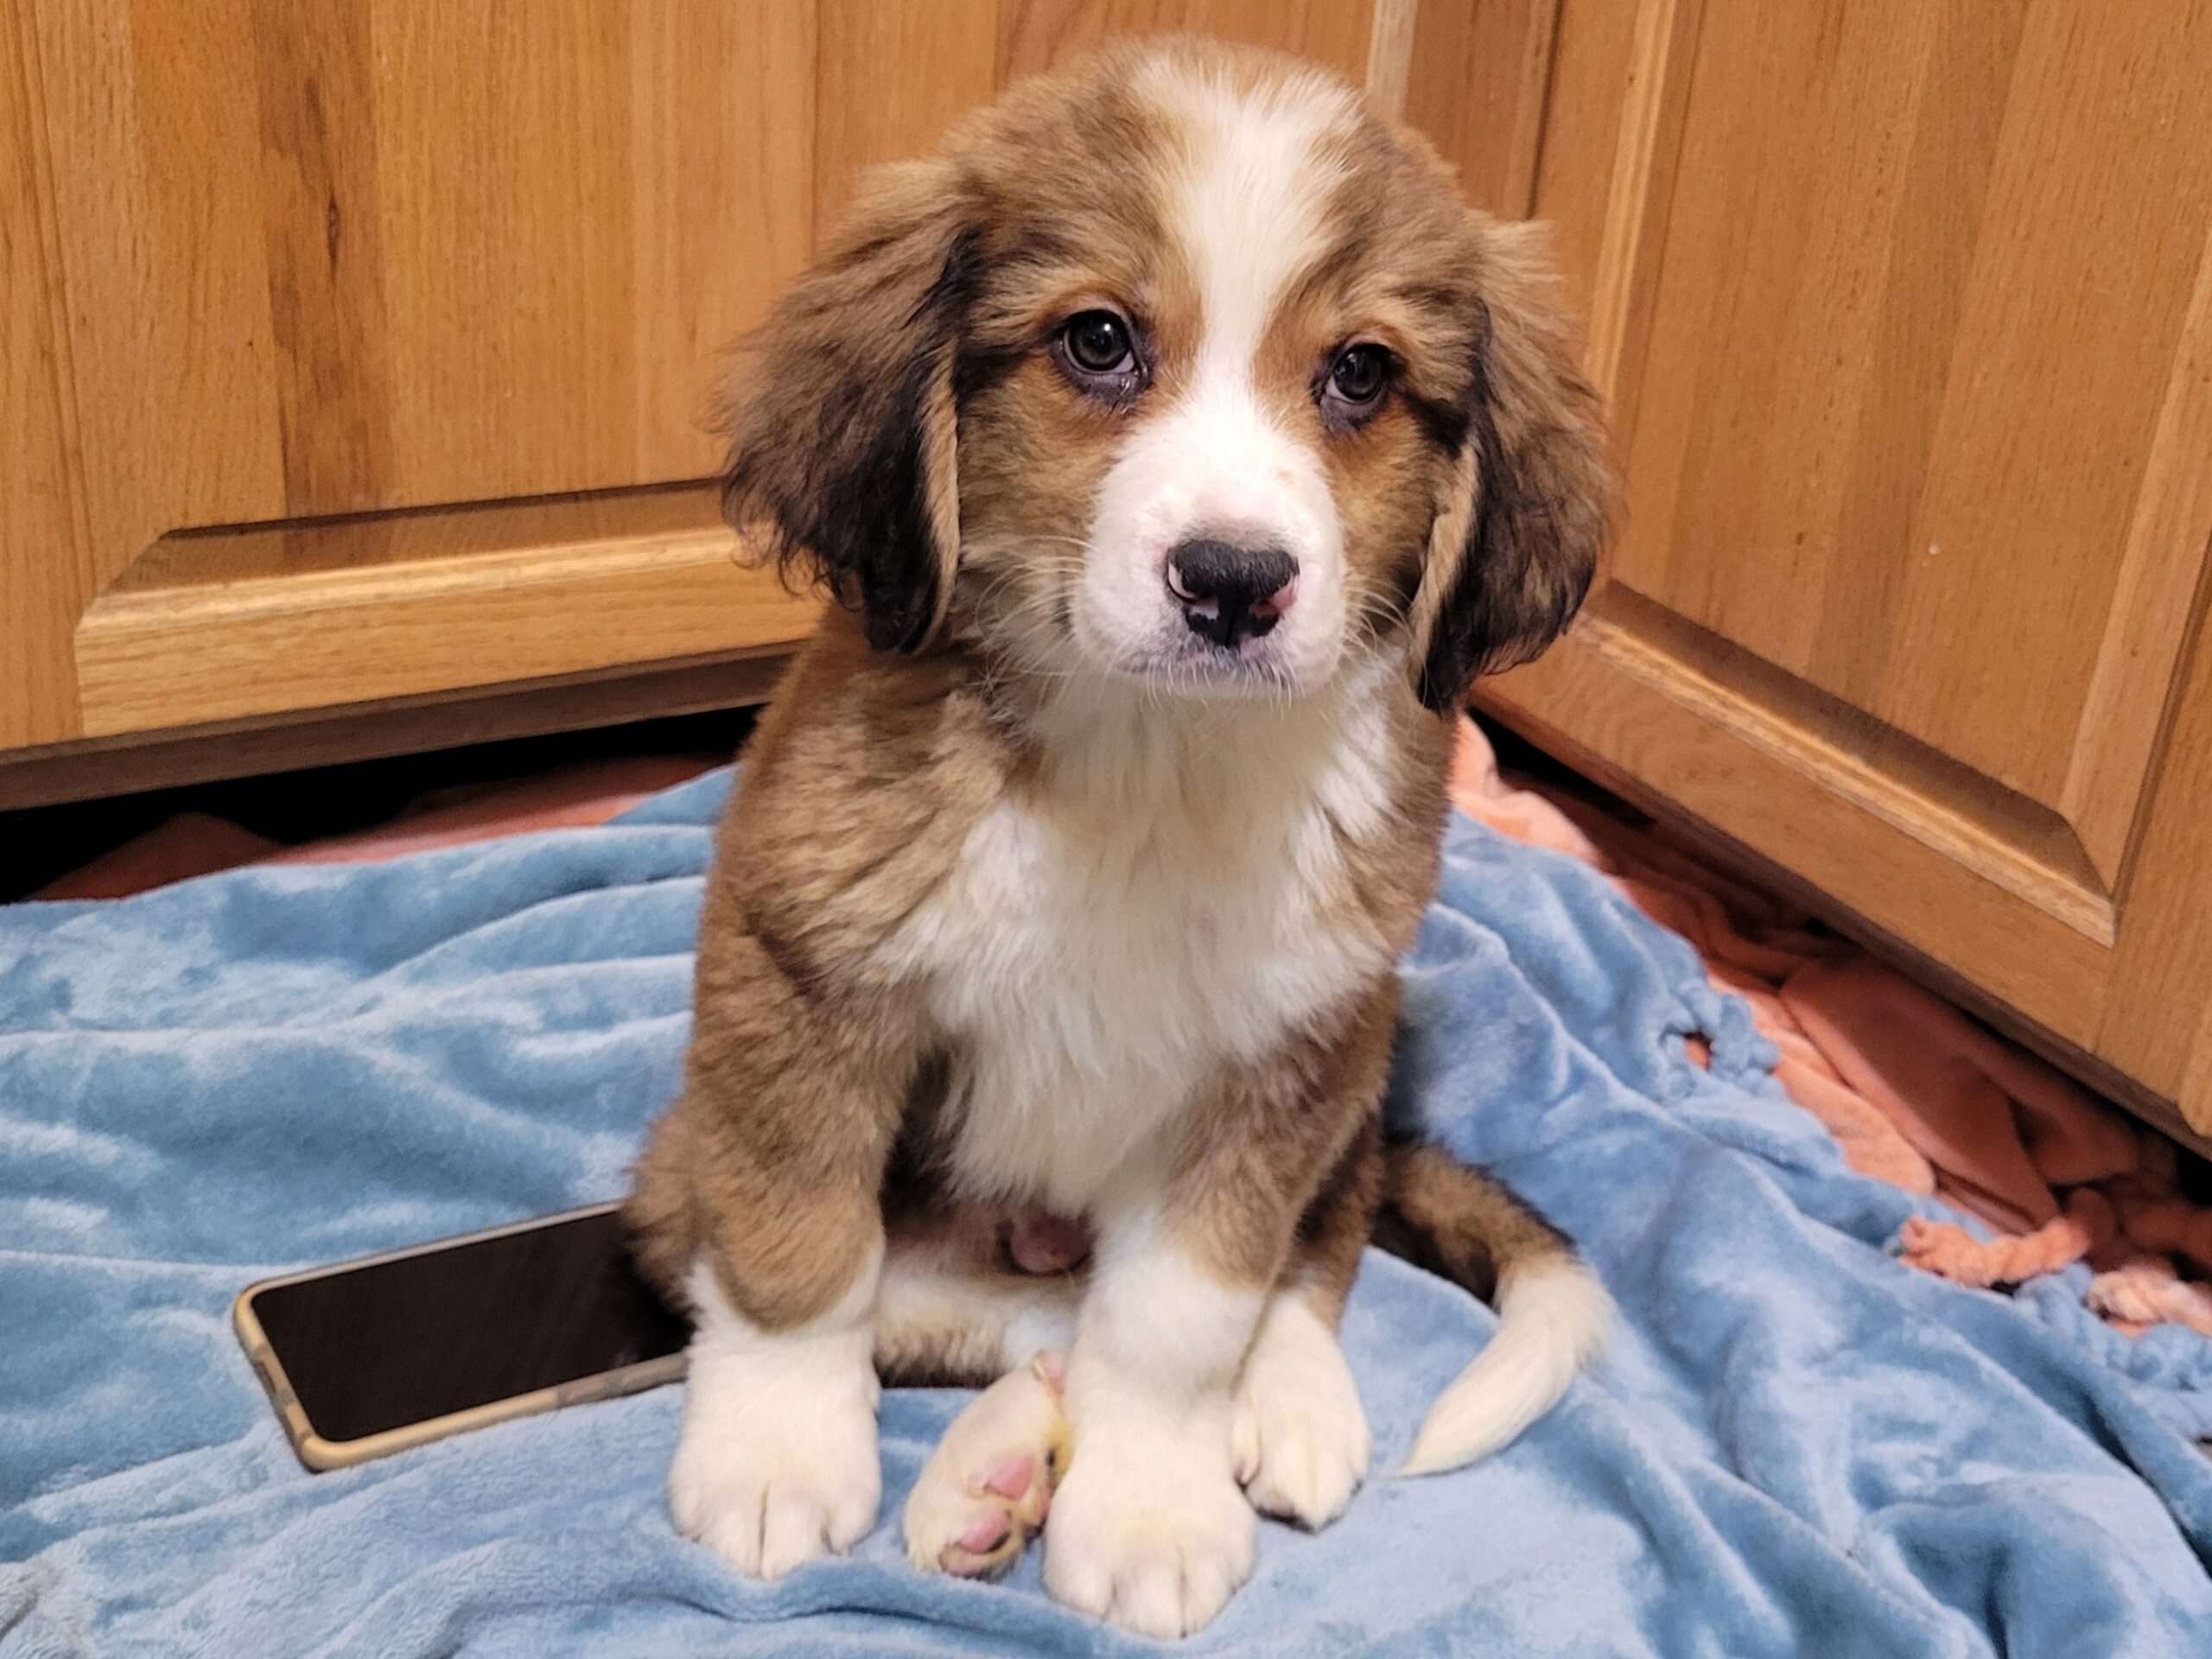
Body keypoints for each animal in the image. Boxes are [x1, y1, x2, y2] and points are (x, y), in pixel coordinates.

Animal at [632, 39, 1618, 1654]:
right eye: (1097, 342)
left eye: (1361, 374)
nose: (1232, 583)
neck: (1153, 757)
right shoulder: (800, 974)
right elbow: (800, 1251)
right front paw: (775, 1455)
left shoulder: (1283, 1054)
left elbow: (1178, 1319)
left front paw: (1152, 1505)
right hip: (677, 1171)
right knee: (979, 1321)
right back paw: (981, 1483)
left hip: (1360, 1068)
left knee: (1302, 1260)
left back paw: (1274, 1413)